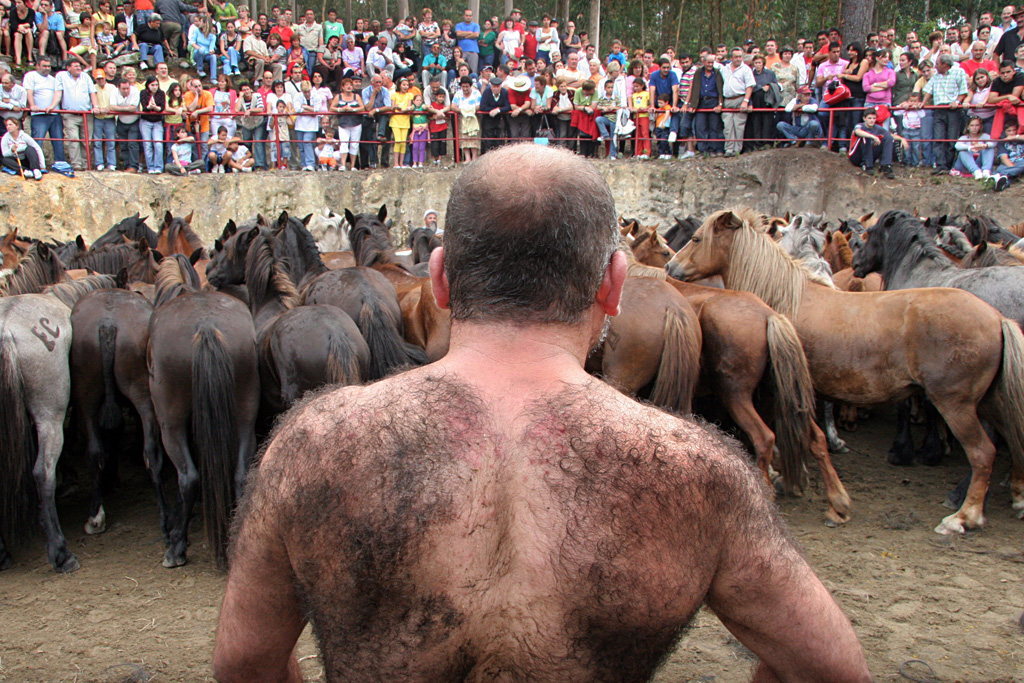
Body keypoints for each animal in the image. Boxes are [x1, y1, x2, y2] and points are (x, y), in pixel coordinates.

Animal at [148, 253, 260, 569]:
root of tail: (206, 325)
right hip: (245, 410)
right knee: (240, 472)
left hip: (170, 421)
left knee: (189, 478)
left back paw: (176, 548)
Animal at [667, 208, 1024, 532]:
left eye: (696, 238)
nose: (671, 265)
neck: (781, 302)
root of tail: (997, 318)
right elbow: (806, 435)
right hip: (992, 402)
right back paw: (1014, 495)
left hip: (956, 405)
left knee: (982, 452)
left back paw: (964, 515)